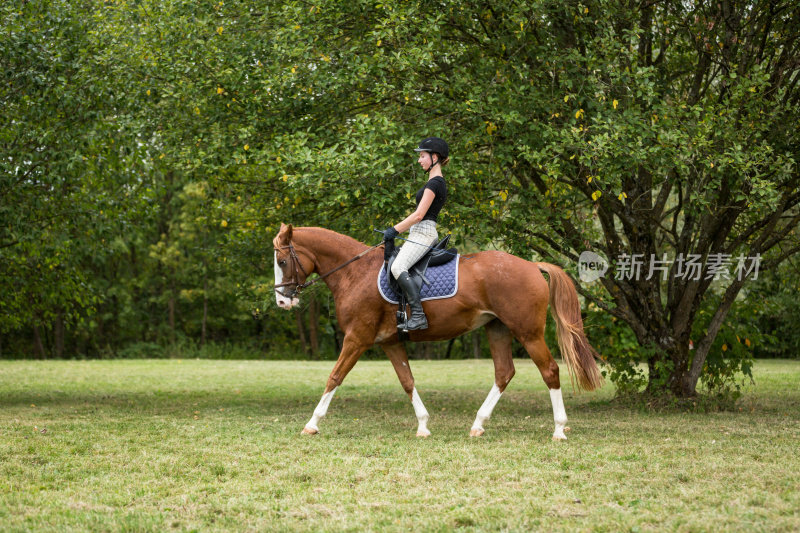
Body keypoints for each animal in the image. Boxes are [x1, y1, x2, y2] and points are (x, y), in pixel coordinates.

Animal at [272, 222, 604, 438]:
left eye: (282, 260)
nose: (282, 300)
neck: (355, 272)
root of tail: (533, 266)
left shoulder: (357, 338)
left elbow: (335, 376)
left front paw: (312, 423)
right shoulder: (390, 342)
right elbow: (407, 381)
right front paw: (423, 425)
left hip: (528, 333)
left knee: (549, 370)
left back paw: (559, 429)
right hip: (497, 329)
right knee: (504, 373)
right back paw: (478, 424)